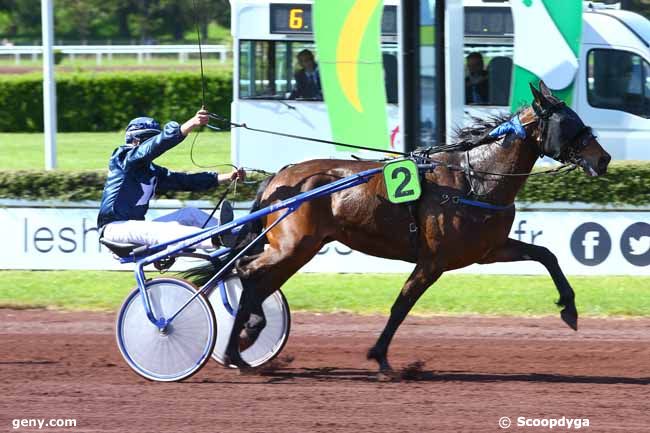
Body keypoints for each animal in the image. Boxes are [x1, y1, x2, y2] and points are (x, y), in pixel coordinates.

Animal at [186, 81, 608, 374]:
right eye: (569, 123)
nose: (603, 158)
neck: (472, 180)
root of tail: (280, 176)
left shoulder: (487, 250)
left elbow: (546, 254)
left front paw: (569, 309)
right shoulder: (434, 261)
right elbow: (401, 305)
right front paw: (381, 357)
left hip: (298, 248)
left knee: (256, 279)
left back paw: (249, 333)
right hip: (294, 245)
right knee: (246, 271)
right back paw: (235, 347)